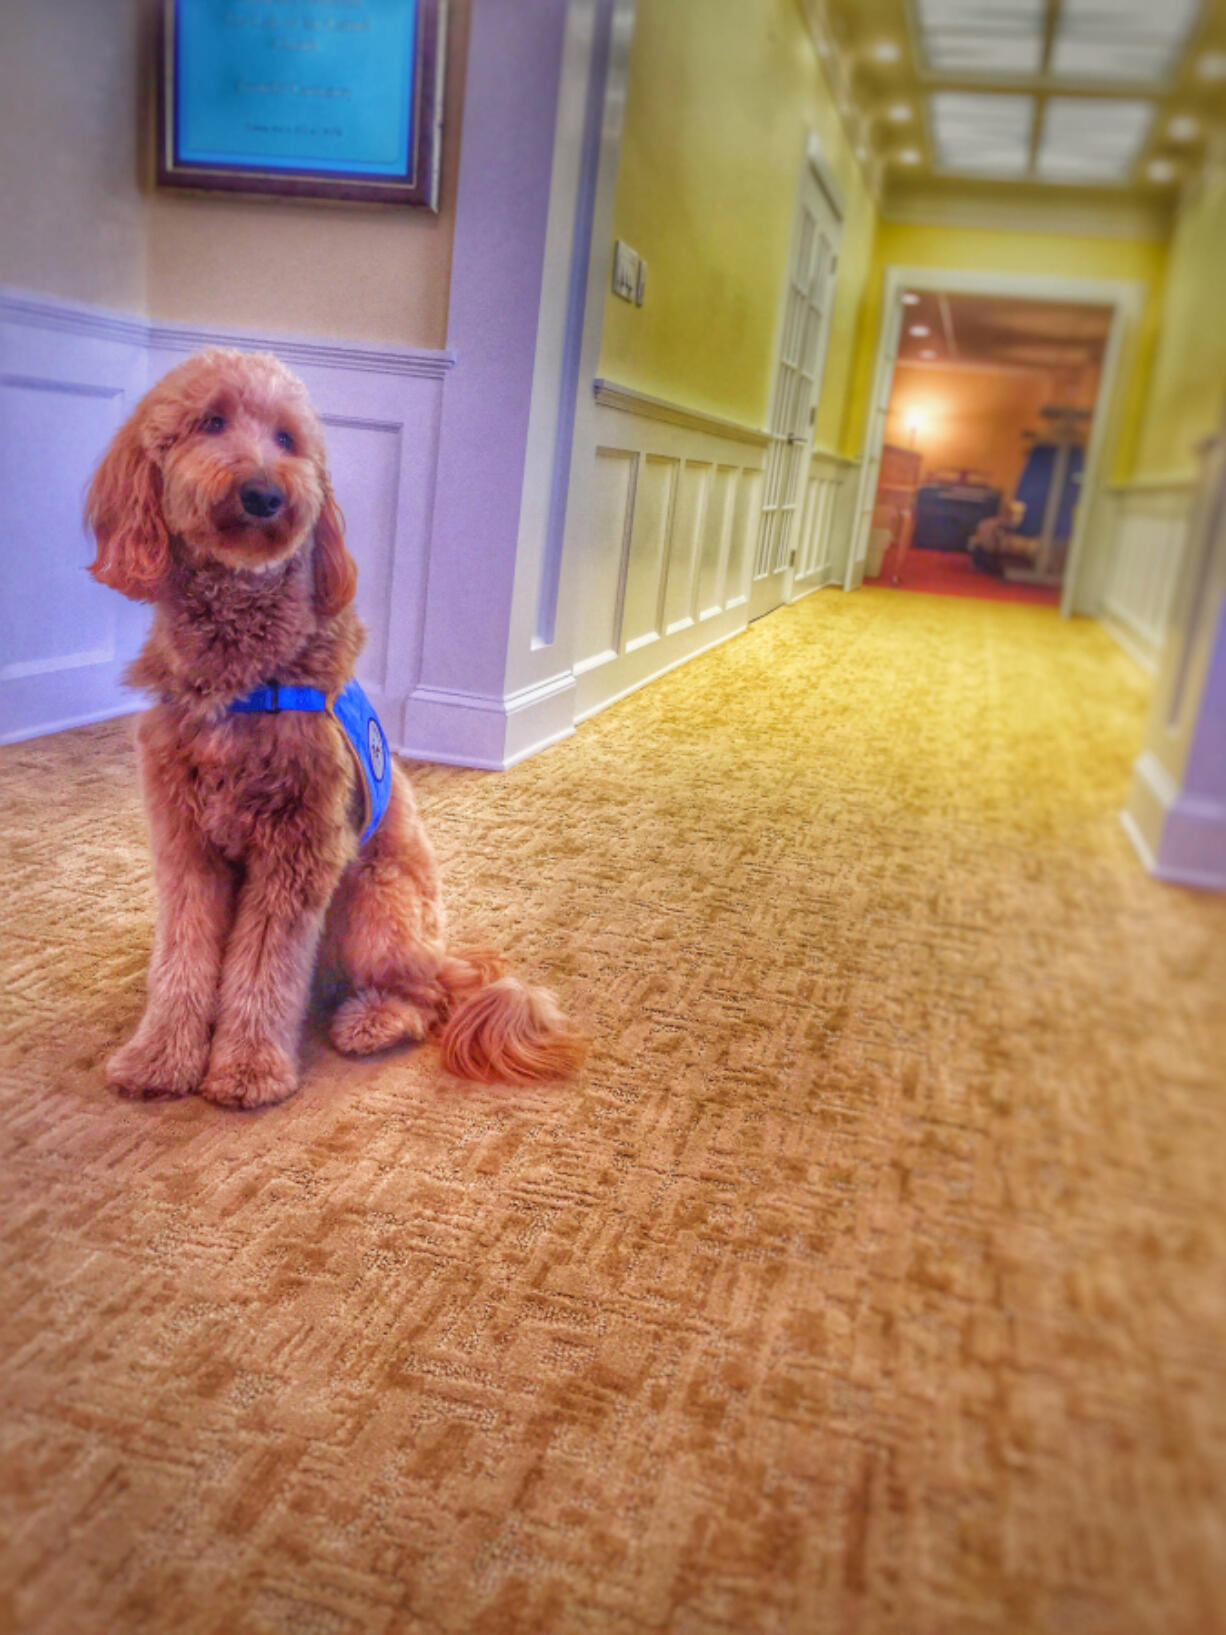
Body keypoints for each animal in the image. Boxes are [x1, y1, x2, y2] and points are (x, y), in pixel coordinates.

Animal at [86, 349, 585, 1105]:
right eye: (211, 422)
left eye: (287, 438)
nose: (265, 493)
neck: (241, 672)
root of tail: (448, 952)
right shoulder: (187, 846)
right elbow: (183, 956)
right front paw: (161, 1056)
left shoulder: (298, 848)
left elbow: (264, 967)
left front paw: (248, 1066)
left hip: (374, 902)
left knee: (424, 997)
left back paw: (372, 1020)